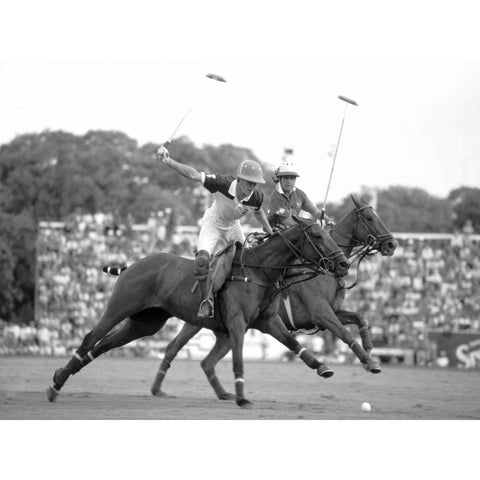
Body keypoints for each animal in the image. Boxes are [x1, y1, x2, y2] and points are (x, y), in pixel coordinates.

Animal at [47, 219, 348, 406]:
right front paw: (241, 396)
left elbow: (295, 344)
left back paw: (60, 377)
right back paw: (56, 385)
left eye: (329, 234)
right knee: (90, 338)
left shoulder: (269, 321)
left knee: (103, 346)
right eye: (318, 235)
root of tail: (132, 264)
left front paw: (323, 367)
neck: (258, 272)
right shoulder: (237, 324)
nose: (343, 264)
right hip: (120, 307)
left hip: (146, 323)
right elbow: (239, 359)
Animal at [150, 195, 398, 402]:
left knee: (202, 360)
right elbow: (345, 334)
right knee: (174, 348)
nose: (392, 244)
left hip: (221, 330)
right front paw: (370, 362)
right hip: (198, 322)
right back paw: (159, 389)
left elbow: (360, 318)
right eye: (370, 217)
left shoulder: (332, 312)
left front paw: (369, 349)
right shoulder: (321, 313)